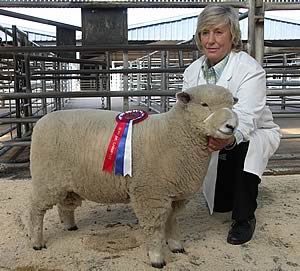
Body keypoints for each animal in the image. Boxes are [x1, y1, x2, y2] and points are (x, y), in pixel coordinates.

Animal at [28, 85, 239, 270]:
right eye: (204, 104)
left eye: (232, 105)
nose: (231, 126)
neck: (173, 133)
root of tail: (41, 121)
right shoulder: (151, 193)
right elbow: (154, 228)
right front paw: (157, 259)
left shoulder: (177, 193)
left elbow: (172, 220)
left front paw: (176, 245)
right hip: (46, 178)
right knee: (36, 210)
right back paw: (37, 242)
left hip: (67, 182)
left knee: (65, 204)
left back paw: (70, 226)